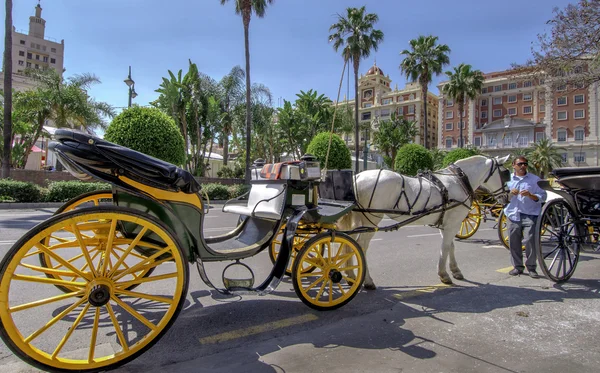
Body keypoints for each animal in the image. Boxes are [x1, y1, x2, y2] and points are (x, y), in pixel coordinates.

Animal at [338, 154, 510, 288]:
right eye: (506, 173)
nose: (507, 197)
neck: (458, 181)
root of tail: (358, 176)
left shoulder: (446, 224)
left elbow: (450, 247)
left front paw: (455, 270)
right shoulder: (453, 224)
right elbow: (445, 247)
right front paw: (444, 274)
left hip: (359, 219)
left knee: (350, 244)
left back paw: (351, 275)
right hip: (371, 220)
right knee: (361, 246)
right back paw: (367, 280)